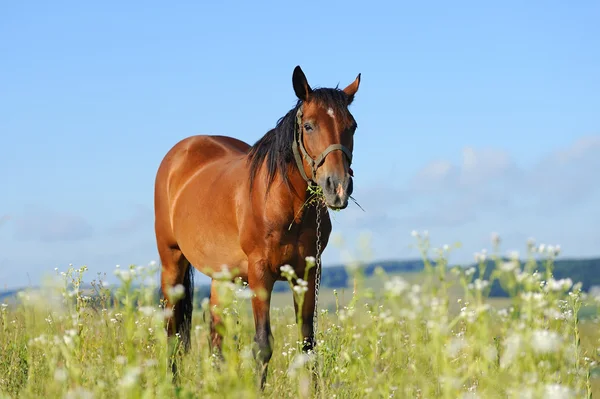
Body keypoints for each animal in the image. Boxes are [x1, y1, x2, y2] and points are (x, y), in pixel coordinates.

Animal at [155, 65, 360, 388]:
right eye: (309, 126)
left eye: (351, 126)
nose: (337, 188)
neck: (286, 204)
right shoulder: (260, 274)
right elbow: (263, 344)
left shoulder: (307, 273)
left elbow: (307, 342)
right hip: (171, 263)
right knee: (172, 331)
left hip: (221, 277)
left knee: (216, 335)